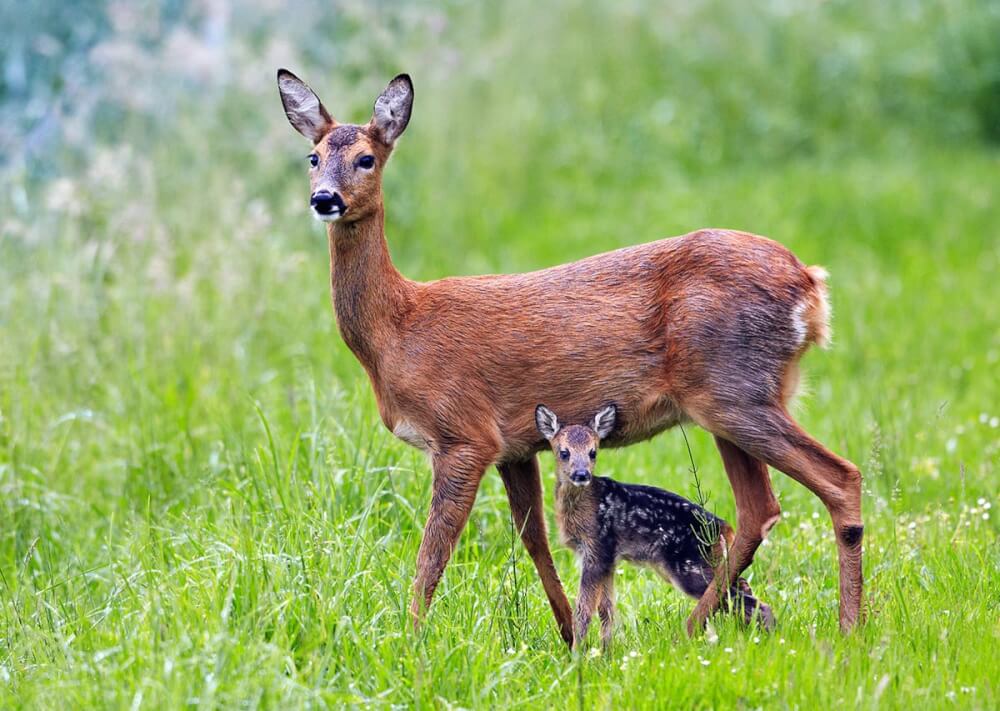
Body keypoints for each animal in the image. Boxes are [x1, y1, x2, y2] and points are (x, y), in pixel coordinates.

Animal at [278, 69, 864, 644]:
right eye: (312, 157)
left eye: (366, 158)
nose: (324, 199)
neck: (398, 330)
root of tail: (811, 286)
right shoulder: (514, 445)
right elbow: (533, 537)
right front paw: (566, 631)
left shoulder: (463, 434)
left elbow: (433, 552)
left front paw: (412, 640)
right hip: (731, 399)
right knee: (758, 509)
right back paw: (713, 623)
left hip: (734, 390)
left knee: (838, 479)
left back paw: (846, 627)